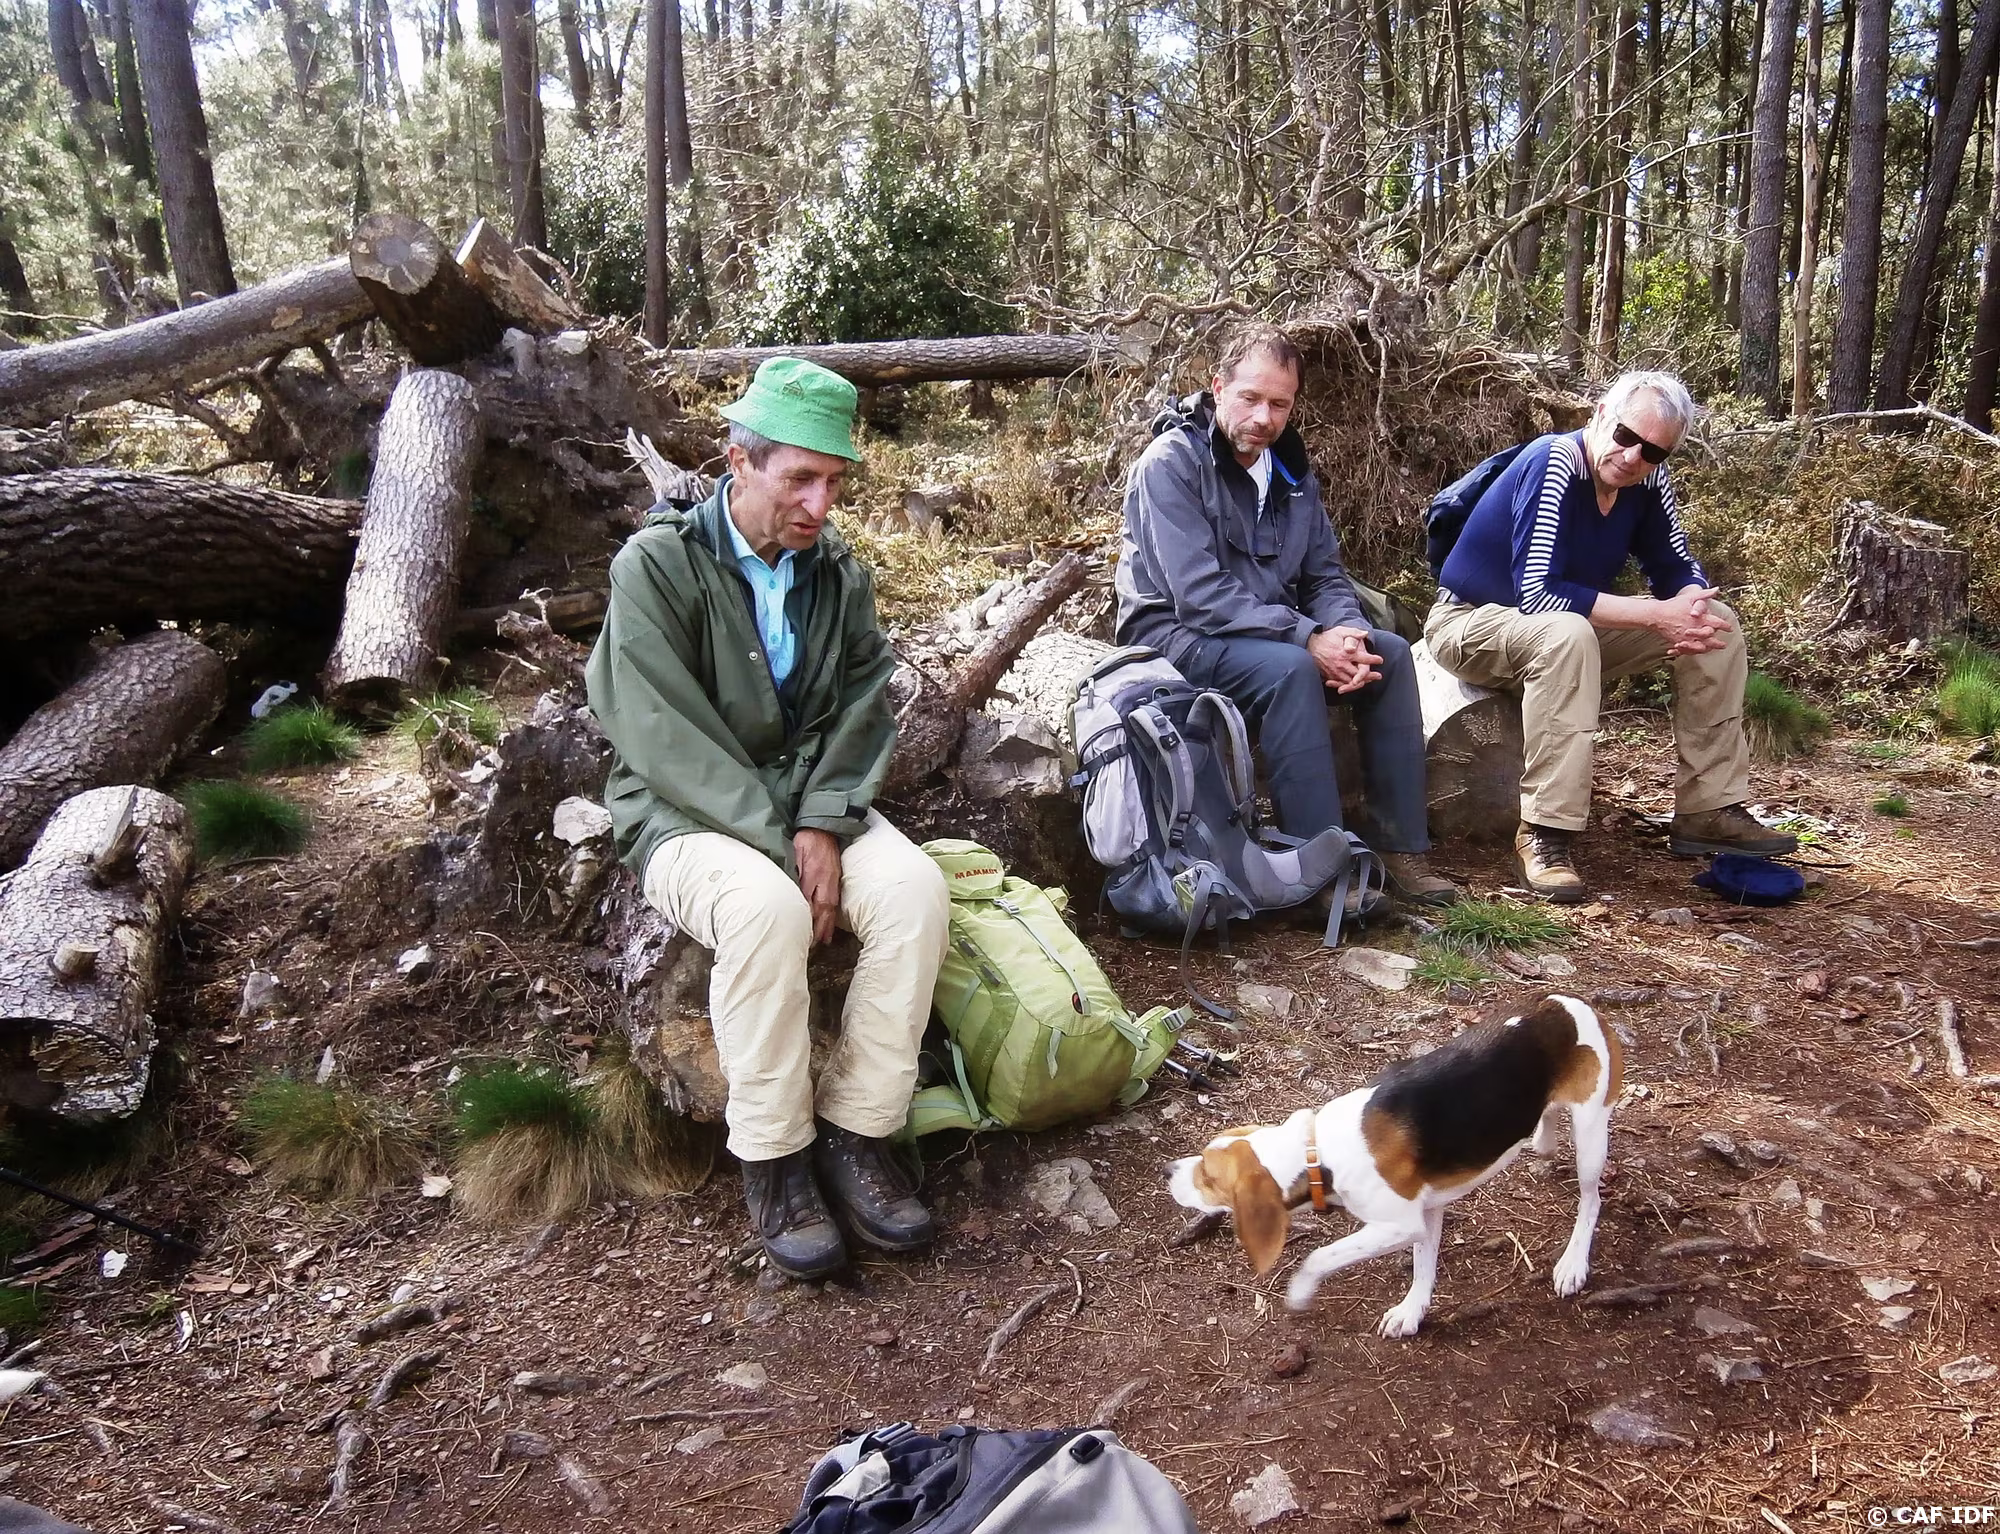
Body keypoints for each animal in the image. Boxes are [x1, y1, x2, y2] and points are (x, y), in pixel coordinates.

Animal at [1166, 993, 1621, 1337]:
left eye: (1208, 1176)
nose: (1167, 1171)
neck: (1318, 1151)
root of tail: (1575, 1003)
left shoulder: (1399, 1224)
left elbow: (1320, 1256)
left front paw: (1299, 1292)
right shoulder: (1427, 1212)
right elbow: (1423, 1266)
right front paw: (1412, 1311)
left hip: (1591, 1137)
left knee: (1591, 1201)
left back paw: (1573, 1264)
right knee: (1548, 1128)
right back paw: (1541, 1140)